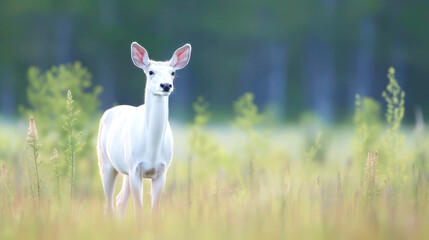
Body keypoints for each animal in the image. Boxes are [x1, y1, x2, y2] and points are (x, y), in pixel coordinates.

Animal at [98, 42, 191, 218]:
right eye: (150, 72)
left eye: (173, 72)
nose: (166, 85)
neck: (152, 149)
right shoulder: (135, 168)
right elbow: (139, 211)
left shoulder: (161, 171)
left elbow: (155, 211)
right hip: (105, 162)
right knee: (108, 205)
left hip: (125, 170)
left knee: (120, 201)